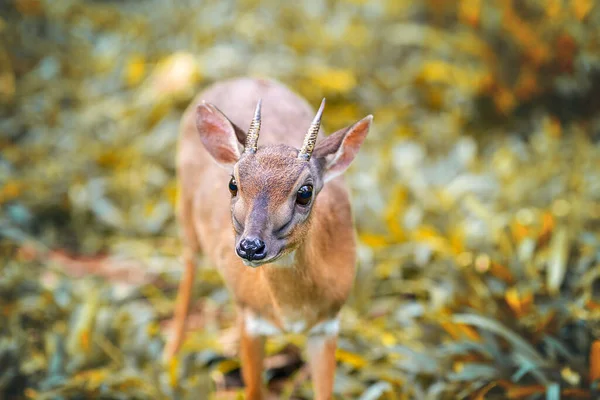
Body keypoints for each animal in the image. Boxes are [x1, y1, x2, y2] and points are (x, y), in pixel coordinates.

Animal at [164, 76, 370, 398]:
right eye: (233, 183)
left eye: (305, 191)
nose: (251, 247)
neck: (291, 312)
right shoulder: (249, 318)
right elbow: (254, 391)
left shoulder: (328, 325)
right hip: (185, 214)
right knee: (188, 270)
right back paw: (170, 358)